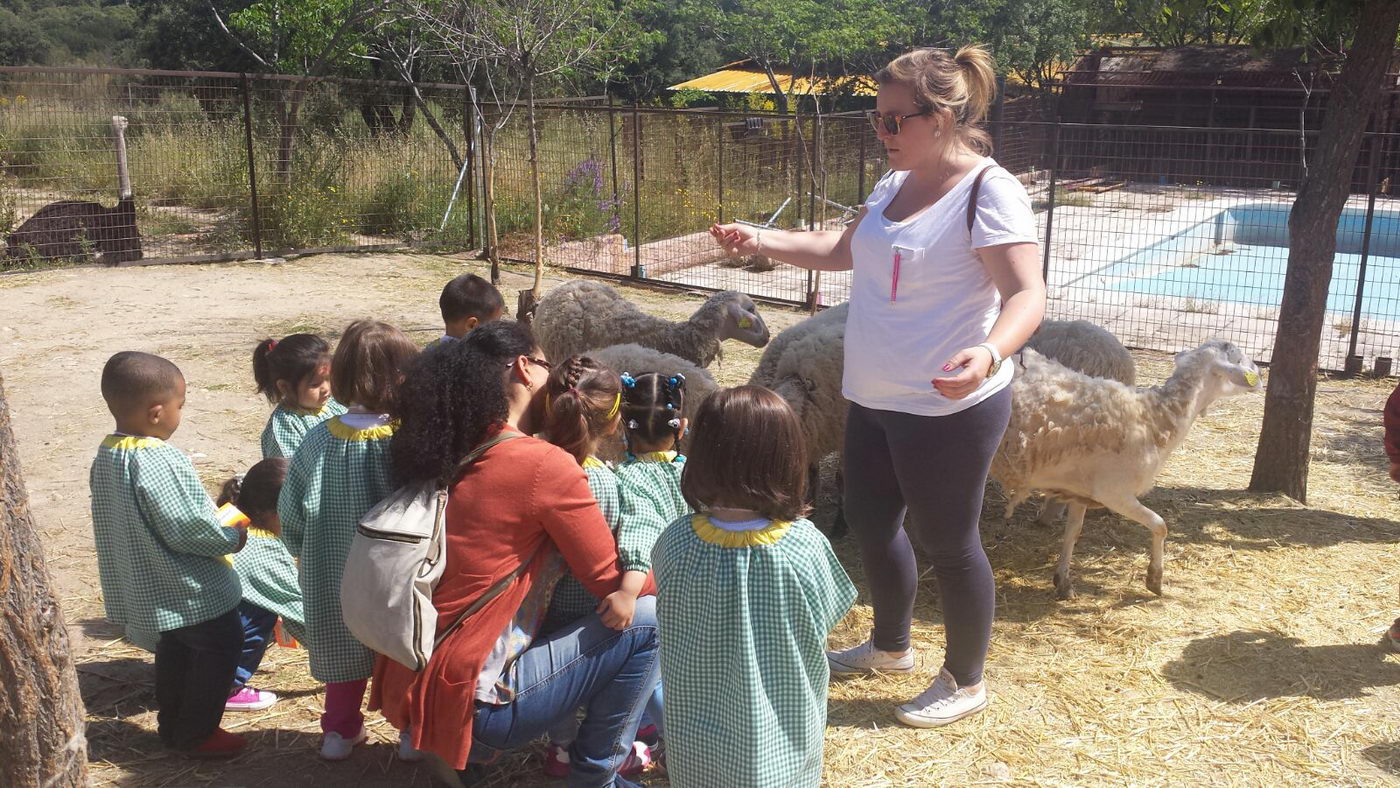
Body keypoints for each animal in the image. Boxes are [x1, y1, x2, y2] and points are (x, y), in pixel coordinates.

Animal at [991, 338, 1265, 599]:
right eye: (1237, 358)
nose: (1259, 376)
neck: (1155, 419)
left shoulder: (1081, 492)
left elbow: (1073, 533)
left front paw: (1063, 582)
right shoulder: (1114, 493)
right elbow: (1160, 524)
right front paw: (1155, 580)